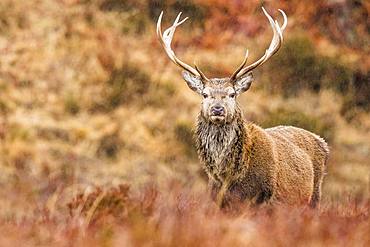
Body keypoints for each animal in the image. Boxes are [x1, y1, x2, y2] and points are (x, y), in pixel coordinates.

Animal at [156, 8, 330, 208]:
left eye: (232, 94)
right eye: (205, 94)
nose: (217, 109)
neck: (228, 176)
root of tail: (323, 143)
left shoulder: (263, 199)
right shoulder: (218, 201)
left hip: (314, 196)